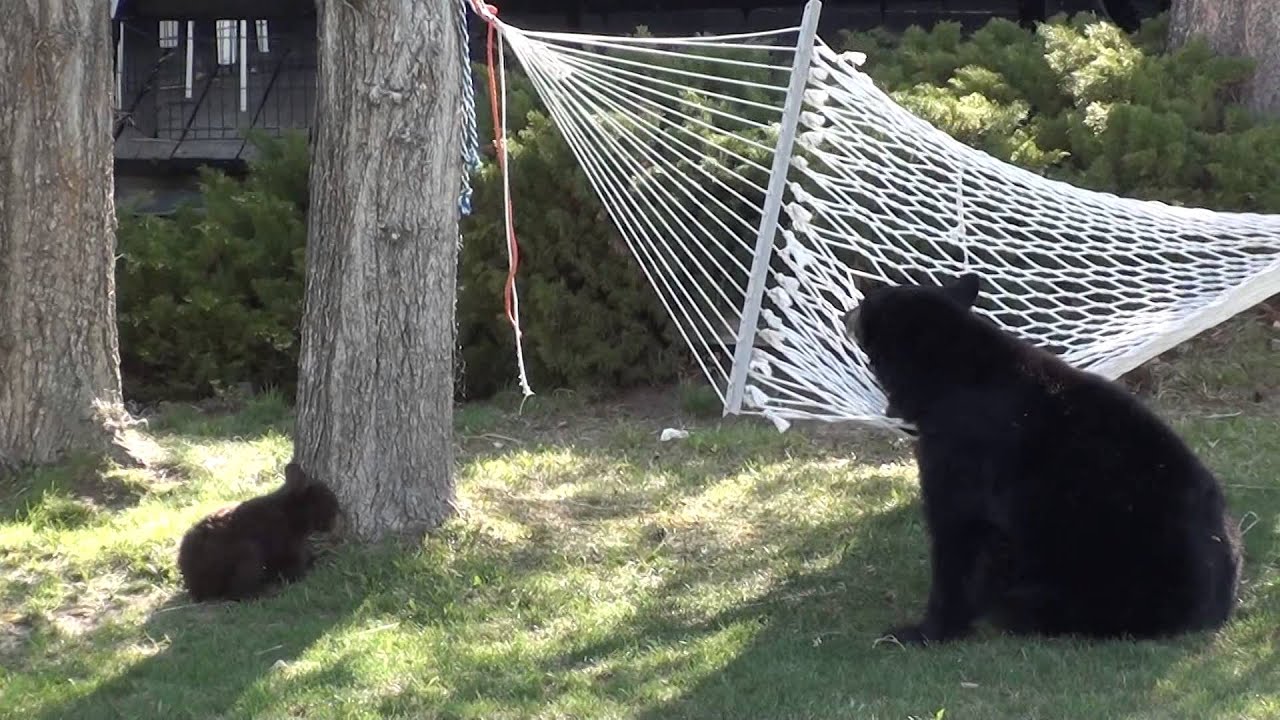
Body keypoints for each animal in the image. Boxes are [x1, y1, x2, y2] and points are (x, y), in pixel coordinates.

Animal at [178, 461, 340, 602]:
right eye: (327, 497)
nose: (339, 509)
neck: (291, 512)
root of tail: (194, 585)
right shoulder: (288, 548)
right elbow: (296, 568)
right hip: (248, 552)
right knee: (236, 593)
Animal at [844, 273, 1243, 645]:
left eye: (867, 303)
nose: (847, 311)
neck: (952, 375)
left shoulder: (961, 451)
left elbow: (959, 537)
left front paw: (923, 631)